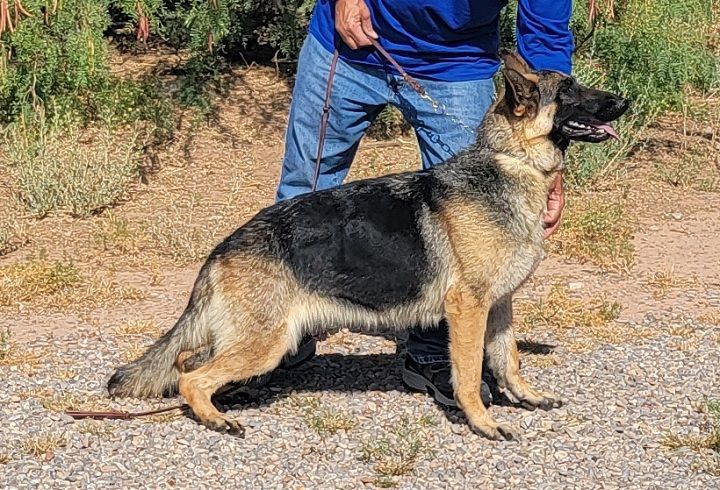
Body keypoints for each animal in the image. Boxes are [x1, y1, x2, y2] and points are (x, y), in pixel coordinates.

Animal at [108, 52, 632, 440]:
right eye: (569, 93)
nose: (625, 101)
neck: (511, 161)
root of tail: (221, 250)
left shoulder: (498, 305)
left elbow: (508, 358)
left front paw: (524, 396)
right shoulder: (468, 309)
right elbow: (467, 373)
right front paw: (483, 422)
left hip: (252, 337)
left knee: (185, 361)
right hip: (265, 342)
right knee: (191, 376)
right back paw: (215, 417)